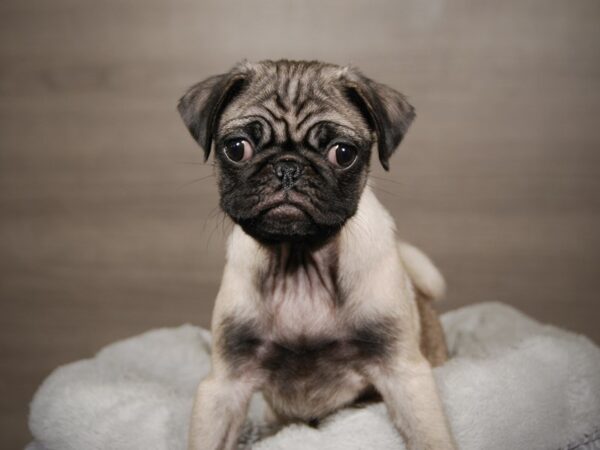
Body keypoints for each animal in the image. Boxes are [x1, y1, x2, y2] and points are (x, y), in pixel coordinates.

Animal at [178, 60, 454, 450]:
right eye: (236, 148)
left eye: (343, 153)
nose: (288, 167)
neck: (299, 261)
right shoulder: (225, 384)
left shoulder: (403, 373)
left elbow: (431, 437)